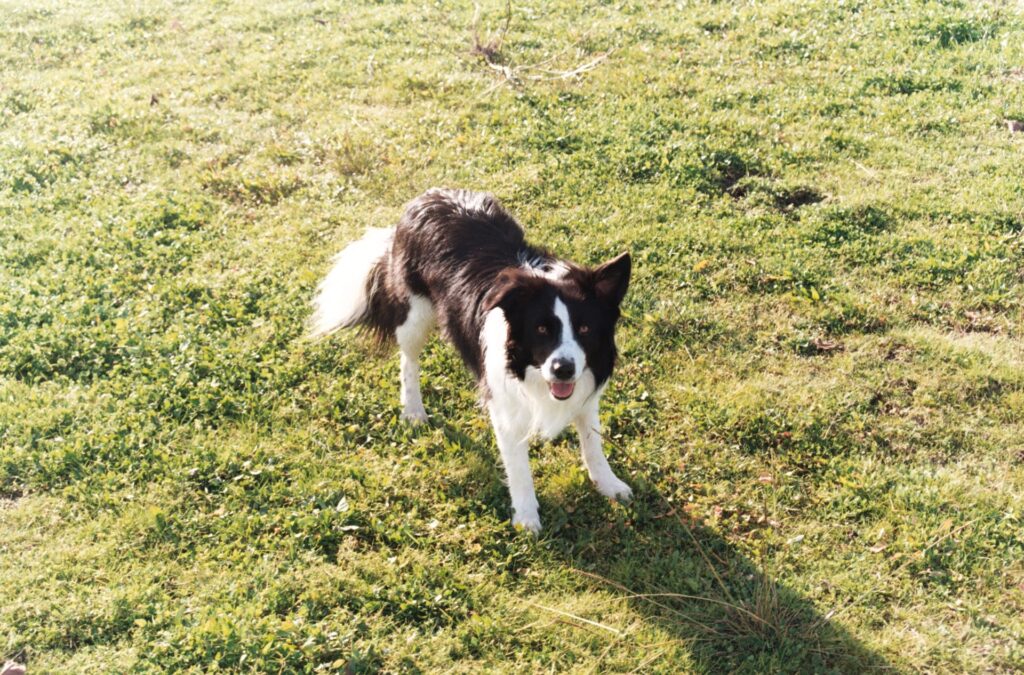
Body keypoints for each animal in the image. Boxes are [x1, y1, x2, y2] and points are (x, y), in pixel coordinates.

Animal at [309, 188, 630, 532]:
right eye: (542, 329)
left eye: (584, 328)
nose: (563, 370)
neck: (527, 368)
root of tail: (428, 195)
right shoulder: (506, 408)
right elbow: (519, 468)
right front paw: (526, 518)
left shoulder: (585, 390)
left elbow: (592, 442)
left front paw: (608, 484)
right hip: (414, 315)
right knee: (408, 359)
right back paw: (413, 410)